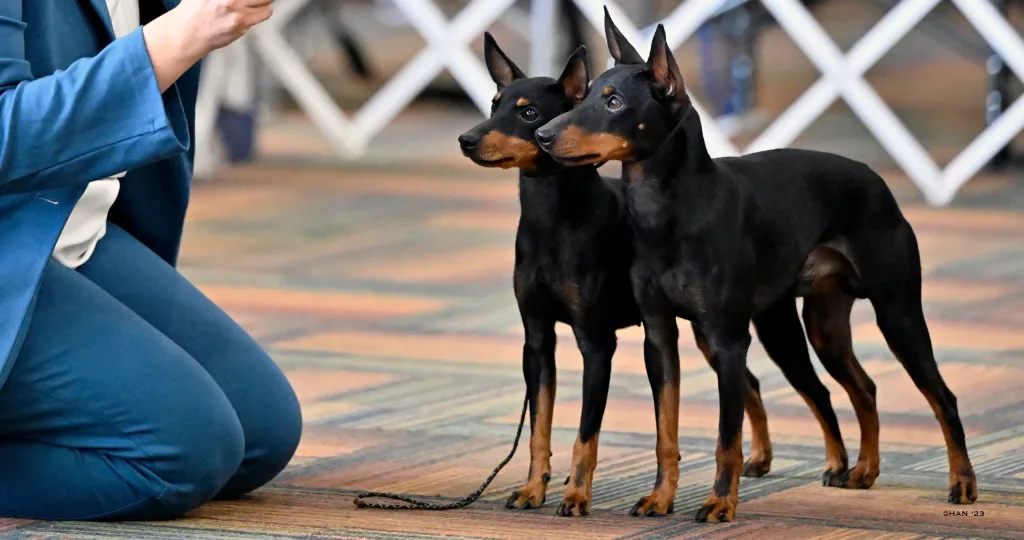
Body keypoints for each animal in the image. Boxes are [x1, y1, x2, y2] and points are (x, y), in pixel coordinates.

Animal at [536, 9, 974, 524]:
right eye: (583, 95)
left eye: (614, 102)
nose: (542, 136)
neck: (672, 208)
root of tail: (875, 179)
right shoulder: (660, 339)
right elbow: (667, 432)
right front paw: (660, 499)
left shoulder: (729, 343)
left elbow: (727, 438)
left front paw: (720, 503)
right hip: (815, 327)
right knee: (859, 388)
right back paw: (862, 470)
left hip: (896, 314)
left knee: (941, 397)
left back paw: (962, 483)